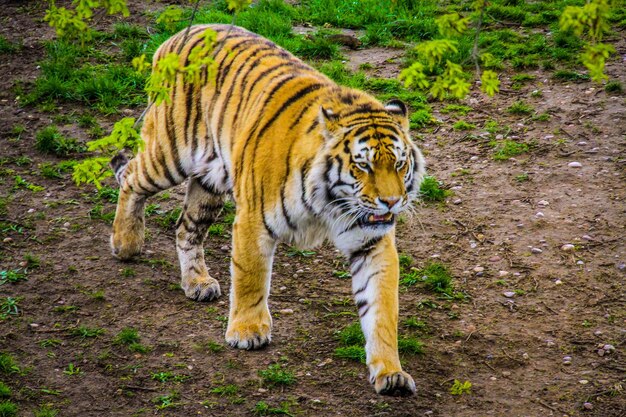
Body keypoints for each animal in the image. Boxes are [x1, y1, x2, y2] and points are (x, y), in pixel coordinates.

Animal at [111, 24, 424, 394]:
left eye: (400, 163)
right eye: (364, 165)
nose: (391, 202)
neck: (331, 202)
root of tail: (182, 32)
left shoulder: (371, 241)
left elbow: (381, 308)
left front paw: (390, 371)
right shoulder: (253, 220)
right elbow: (251, 277)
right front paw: (247, 332)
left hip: (209, 181)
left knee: (186, 228)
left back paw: (197, 282)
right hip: (170, 152)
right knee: (131, 177)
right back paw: (125, 244)